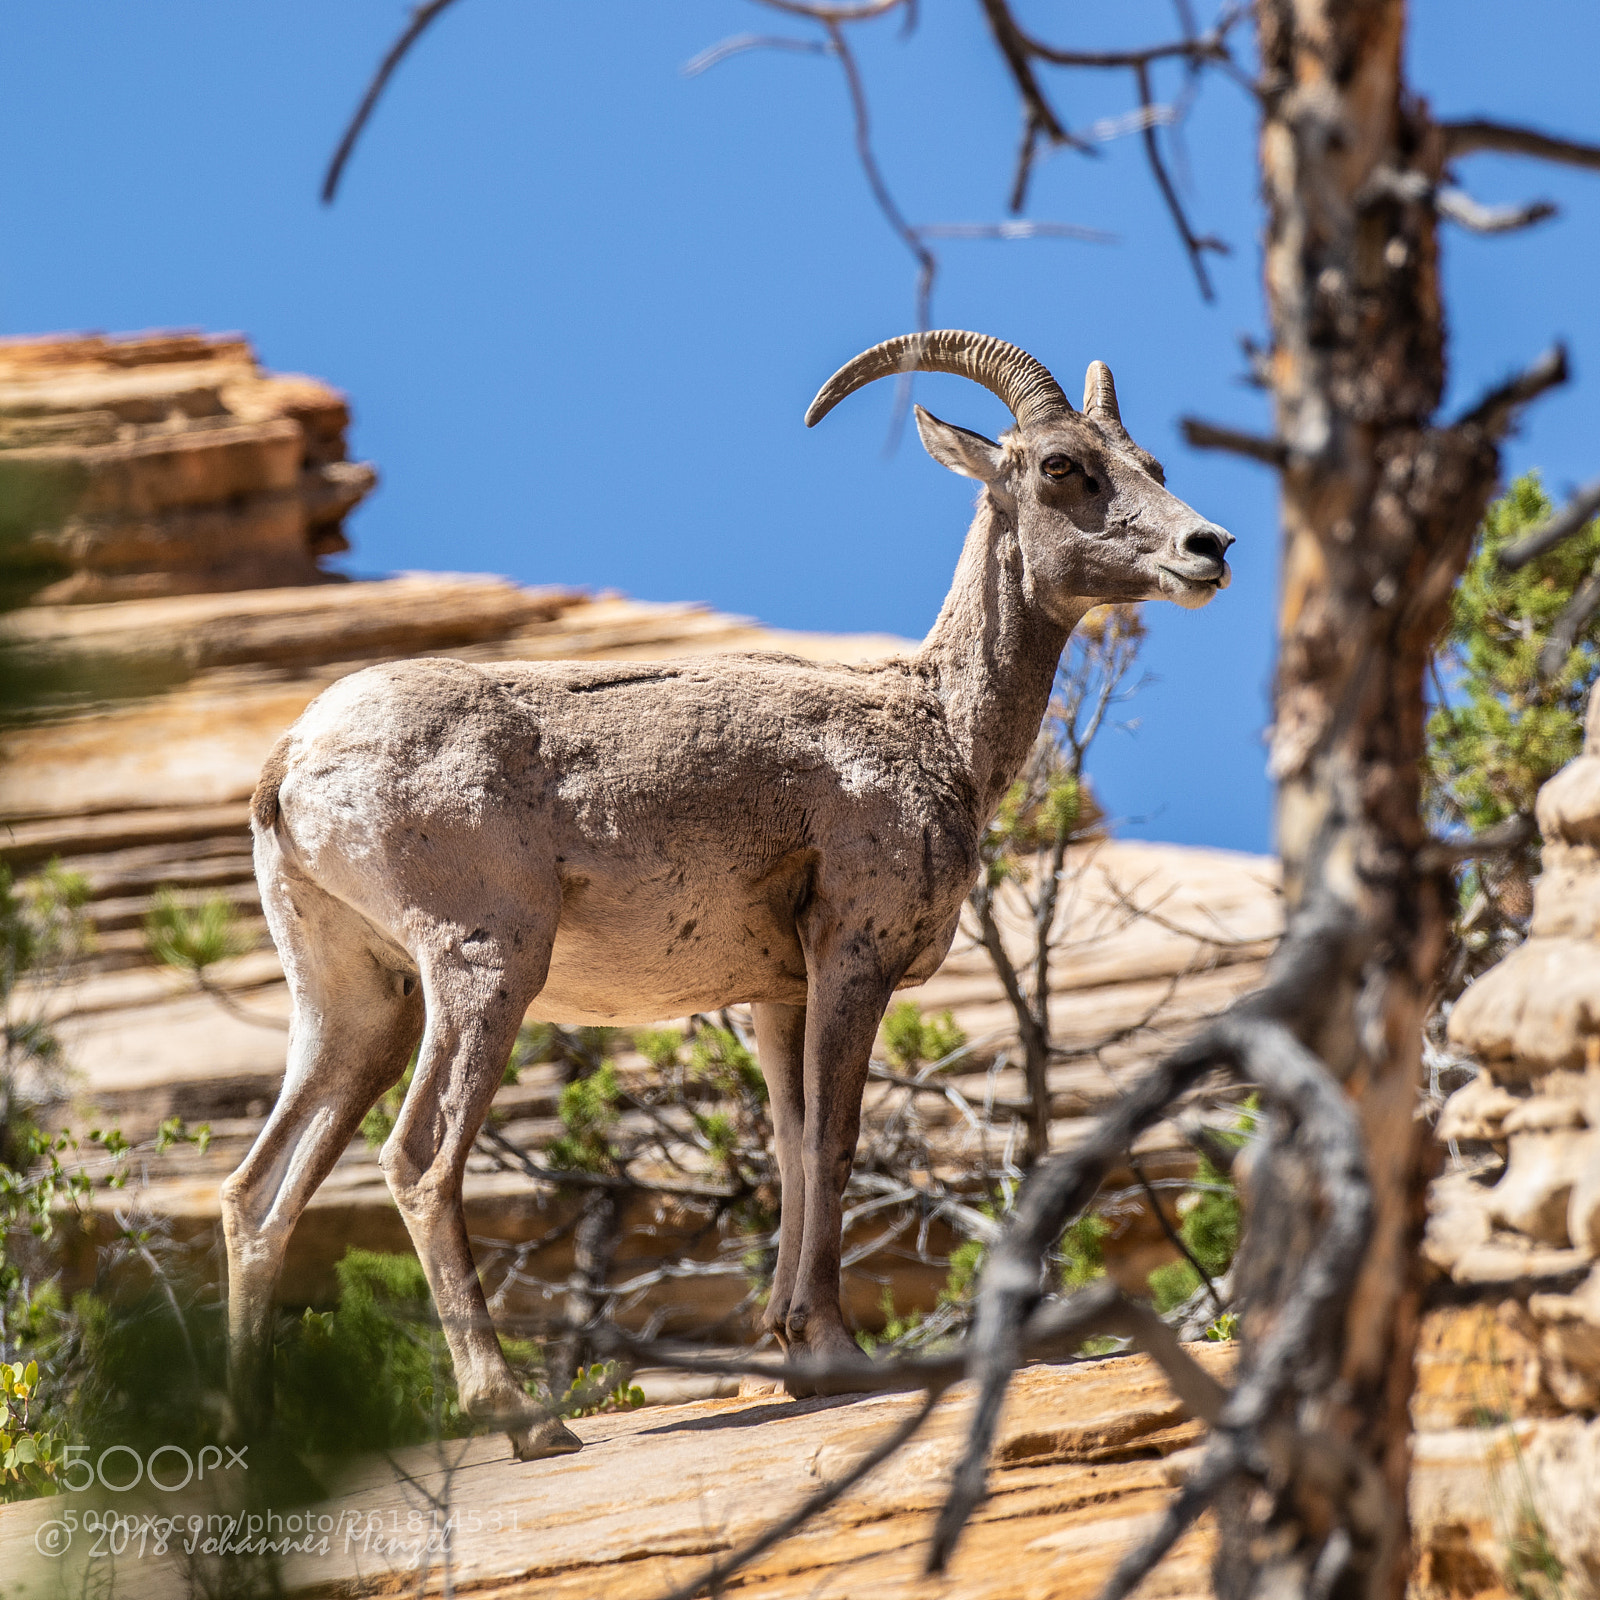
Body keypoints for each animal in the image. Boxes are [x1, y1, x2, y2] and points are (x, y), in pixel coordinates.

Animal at [223, 331, 1234, 1461]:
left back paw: (249, 1447)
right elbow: (835, 1145)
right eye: (1064, 467)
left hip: (361, 1006)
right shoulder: (851, 959)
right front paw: (836, 1352)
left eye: (1148, 461)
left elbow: (790, 1150)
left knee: (256, 1197)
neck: (939, 727)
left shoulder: (774, 997)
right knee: (418, 1162)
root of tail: (292, 765)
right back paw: (523, 1418)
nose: (1209, 546)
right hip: (485, 970)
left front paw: (792, 1350)